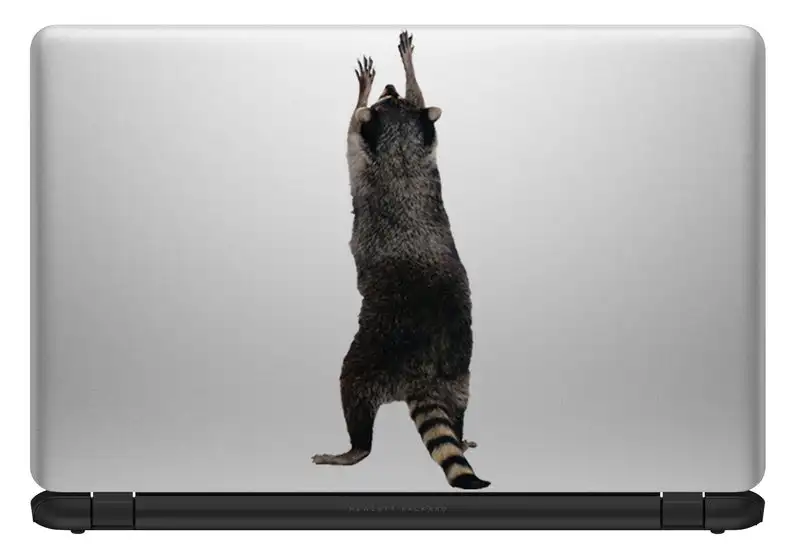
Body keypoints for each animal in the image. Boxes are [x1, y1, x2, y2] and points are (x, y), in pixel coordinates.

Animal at [312, 31, 489, 490]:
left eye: (387, 102)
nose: (390, 87)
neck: (403, 150)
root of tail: (423, 373)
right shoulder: (428, 151)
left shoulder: (363, 157)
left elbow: (350, 129)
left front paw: (366, 90)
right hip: (458, 368)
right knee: (458, 404)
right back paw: (459, 434)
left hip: (372, 354)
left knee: (352, 389)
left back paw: (354, 449)